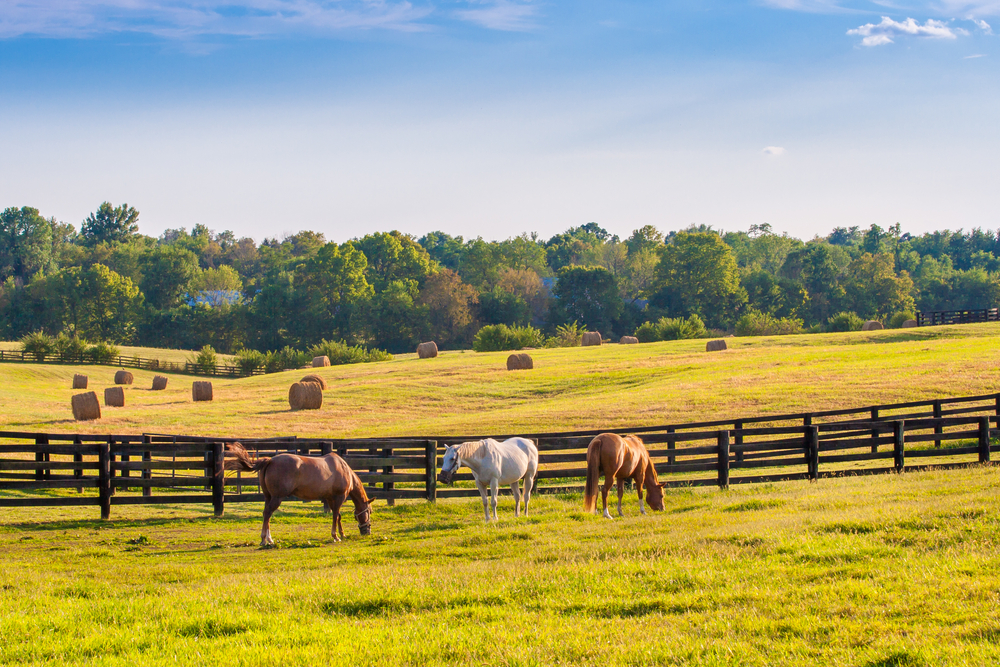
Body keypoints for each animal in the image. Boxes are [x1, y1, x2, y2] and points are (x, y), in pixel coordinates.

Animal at [225, 444, 374, 548]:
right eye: (370, 511)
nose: (367, 531)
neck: (344, 469)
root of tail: (270, 460)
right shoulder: (339, 498)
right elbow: (336, 516)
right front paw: (335, 536)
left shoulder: (330, 498)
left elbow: (338, 516)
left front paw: (342, 534)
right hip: (277, 498)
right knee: (267, 513)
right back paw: (264, 539)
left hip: (268, 497)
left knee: (266, 514)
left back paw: (269, 538)